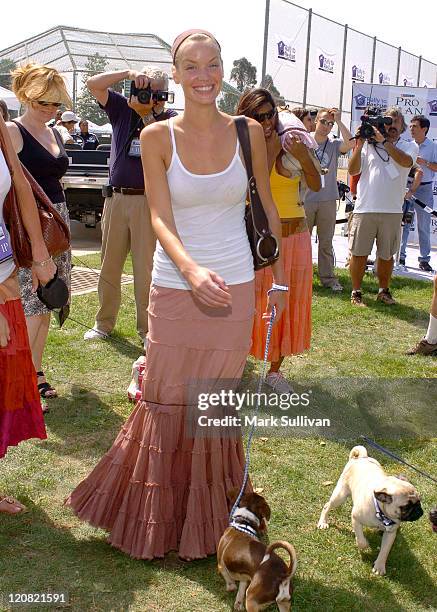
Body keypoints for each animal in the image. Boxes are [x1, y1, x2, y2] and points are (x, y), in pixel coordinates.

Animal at [316, 444, 422, 572]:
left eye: (419, 502)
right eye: (405, 507)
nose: (419, 511)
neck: (381, 512)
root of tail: (361, 457)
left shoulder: (390, 533)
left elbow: (385, 551)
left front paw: (379, 566)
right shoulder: (356, 518)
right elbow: (361, 539)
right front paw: (363, 544)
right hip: (340, 496)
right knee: (327, 506)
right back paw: (323, 522)